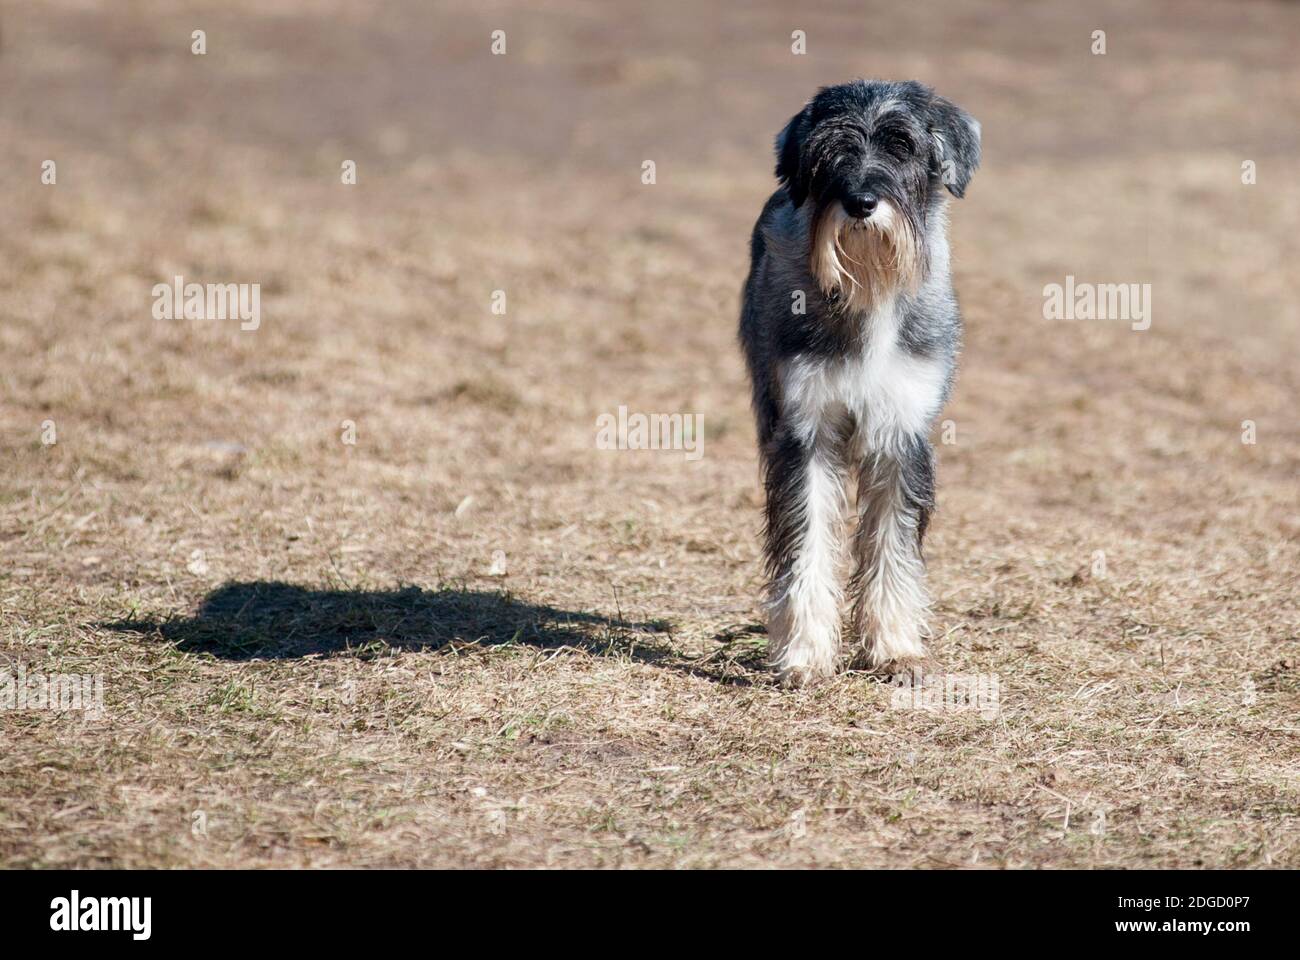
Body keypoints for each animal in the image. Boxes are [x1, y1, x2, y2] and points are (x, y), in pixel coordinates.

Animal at [738, 78, 977, 686]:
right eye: (828, 151)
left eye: (903, 145)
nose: (862, 203)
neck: (869, 287)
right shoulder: (806, 433)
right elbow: (806, 542)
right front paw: (803, 655)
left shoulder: (900, 434)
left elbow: (893, 547)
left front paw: (895, 650)